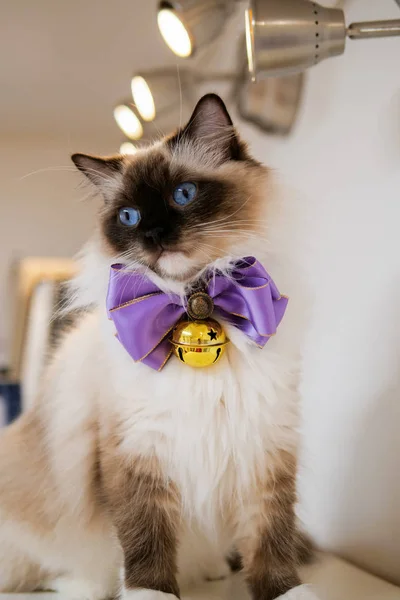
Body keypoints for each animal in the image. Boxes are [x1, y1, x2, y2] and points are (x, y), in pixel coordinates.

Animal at [0, 95, 310, 600]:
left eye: (183, 194)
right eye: (129, 217)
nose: (155, 236)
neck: (191, 303)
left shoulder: (263, 442)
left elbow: (272, 539)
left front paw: (290, 592)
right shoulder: (137, 451)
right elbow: (145, 544)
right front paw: (152, 594)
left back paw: (209, 571)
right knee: (54, 569)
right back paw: (83, 585)